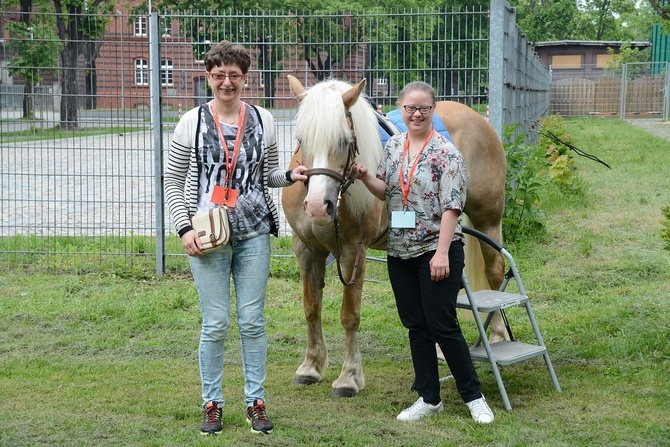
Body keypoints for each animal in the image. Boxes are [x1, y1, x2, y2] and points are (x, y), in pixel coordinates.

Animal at [284, 76, 510, 400]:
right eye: (302, 140)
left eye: (344, 141)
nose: (317, 206)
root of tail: (479, 119)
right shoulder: (306, 250)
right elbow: (311, 308)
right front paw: (311, 367)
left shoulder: (353, 253)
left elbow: (349, 315)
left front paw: (348, 378)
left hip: (488, 221)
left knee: (495, 274)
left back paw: (499, 336)